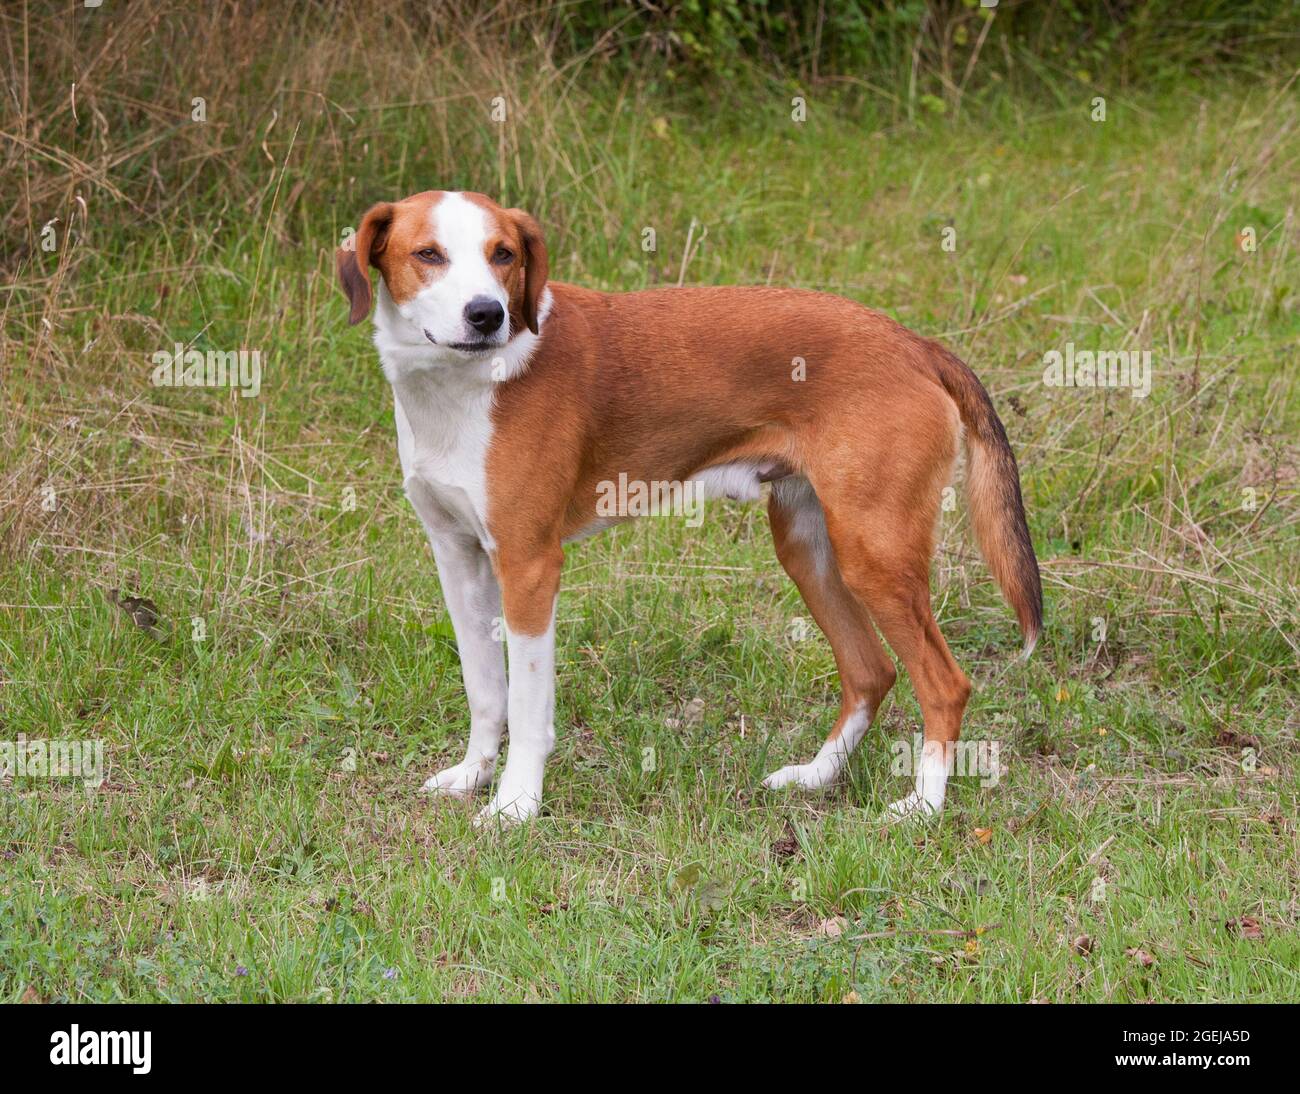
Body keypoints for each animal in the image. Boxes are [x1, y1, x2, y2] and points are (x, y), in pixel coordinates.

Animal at [338, 189, 1045, 821]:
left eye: (503, 253)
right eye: (428, 254)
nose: (487, 315)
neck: (464, 387)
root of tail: (915, 343)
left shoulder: (529, 567)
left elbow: (528, 708)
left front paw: (515, 805)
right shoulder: (458, 559)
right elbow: (486, 691)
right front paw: (473, 776)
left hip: (874, 554)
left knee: (944, 684)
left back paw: (922, 808)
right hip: (811, 548)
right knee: (871, 671)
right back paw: (815, 777)